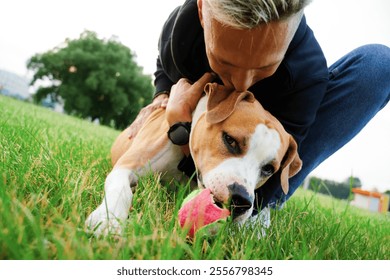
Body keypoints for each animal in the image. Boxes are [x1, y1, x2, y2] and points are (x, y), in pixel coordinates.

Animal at [86, 83, 302, 236]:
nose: (241, 201)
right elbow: (121, 190)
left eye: (268, 169)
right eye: (230, 140)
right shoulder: (127, 167)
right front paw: (108, 221)